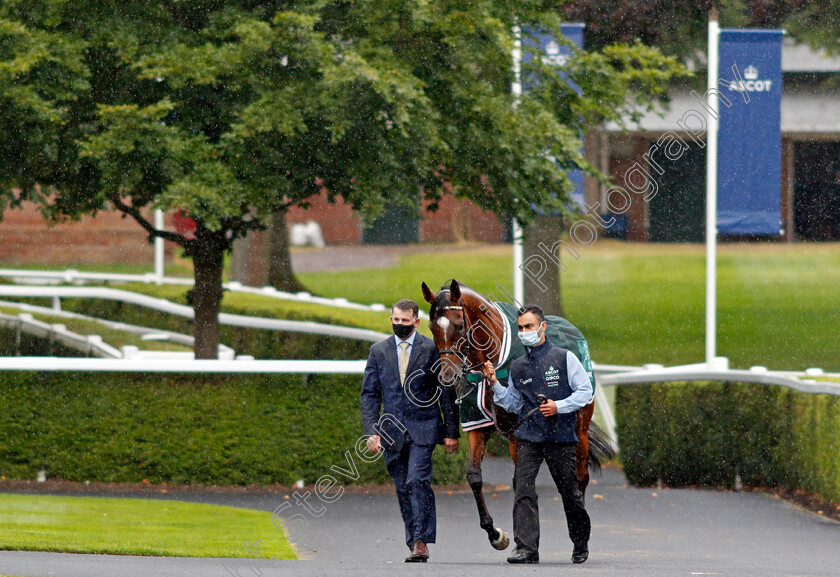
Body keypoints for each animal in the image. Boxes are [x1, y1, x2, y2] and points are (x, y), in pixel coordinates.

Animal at [424, 280, 612, 548]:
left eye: (459, 325)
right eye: (431, 327)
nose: (447, 377)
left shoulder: (516, 433)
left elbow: (519, 481)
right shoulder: (478, 424)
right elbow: (474, 476)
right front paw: (495, 534)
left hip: (580, 427)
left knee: (580, 477)